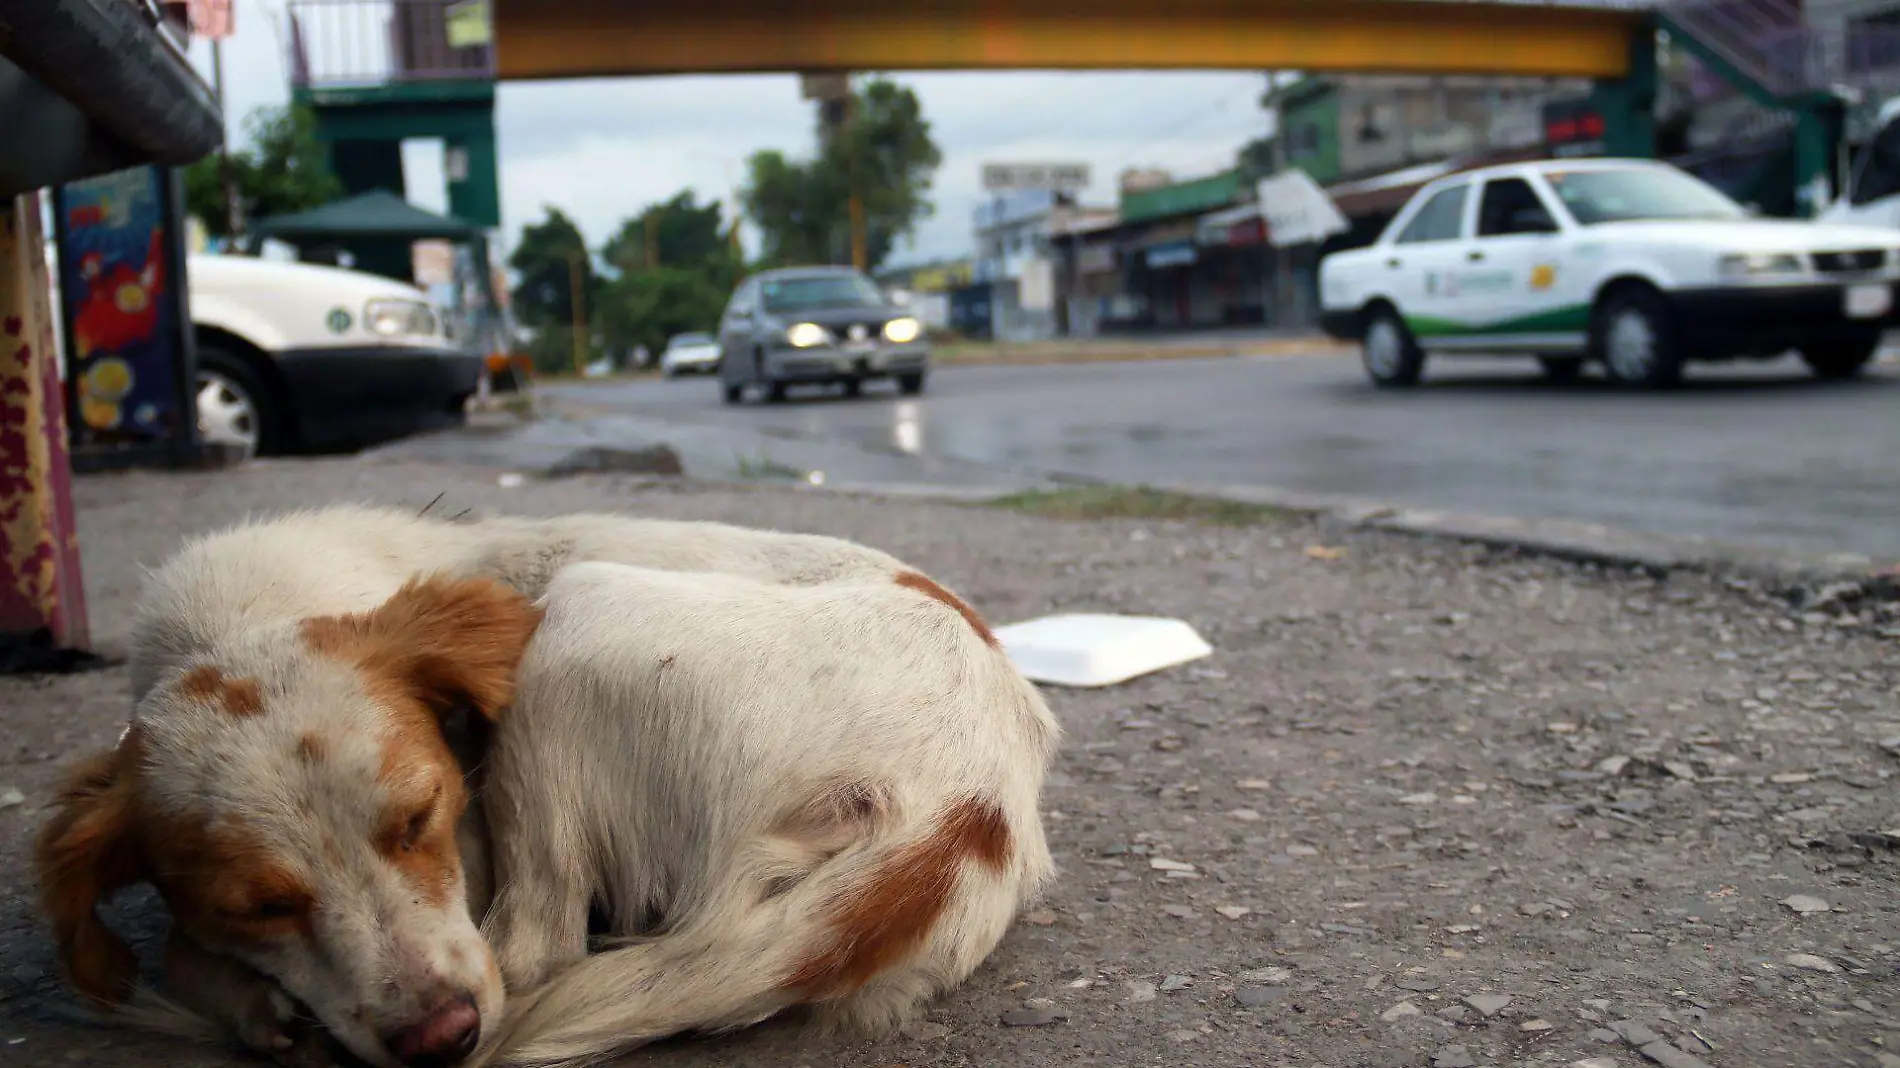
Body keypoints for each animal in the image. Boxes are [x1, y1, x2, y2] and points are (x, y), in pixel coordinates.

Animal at [29, 505, 1064, 1064]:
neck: (231, 622)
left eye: (421, 818)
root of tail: (971, 801)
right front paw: (256, 1002)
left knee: (536, 945)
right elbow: (185, 949)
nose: (438, 1042)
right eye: (258, 906)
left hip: (571, 621)